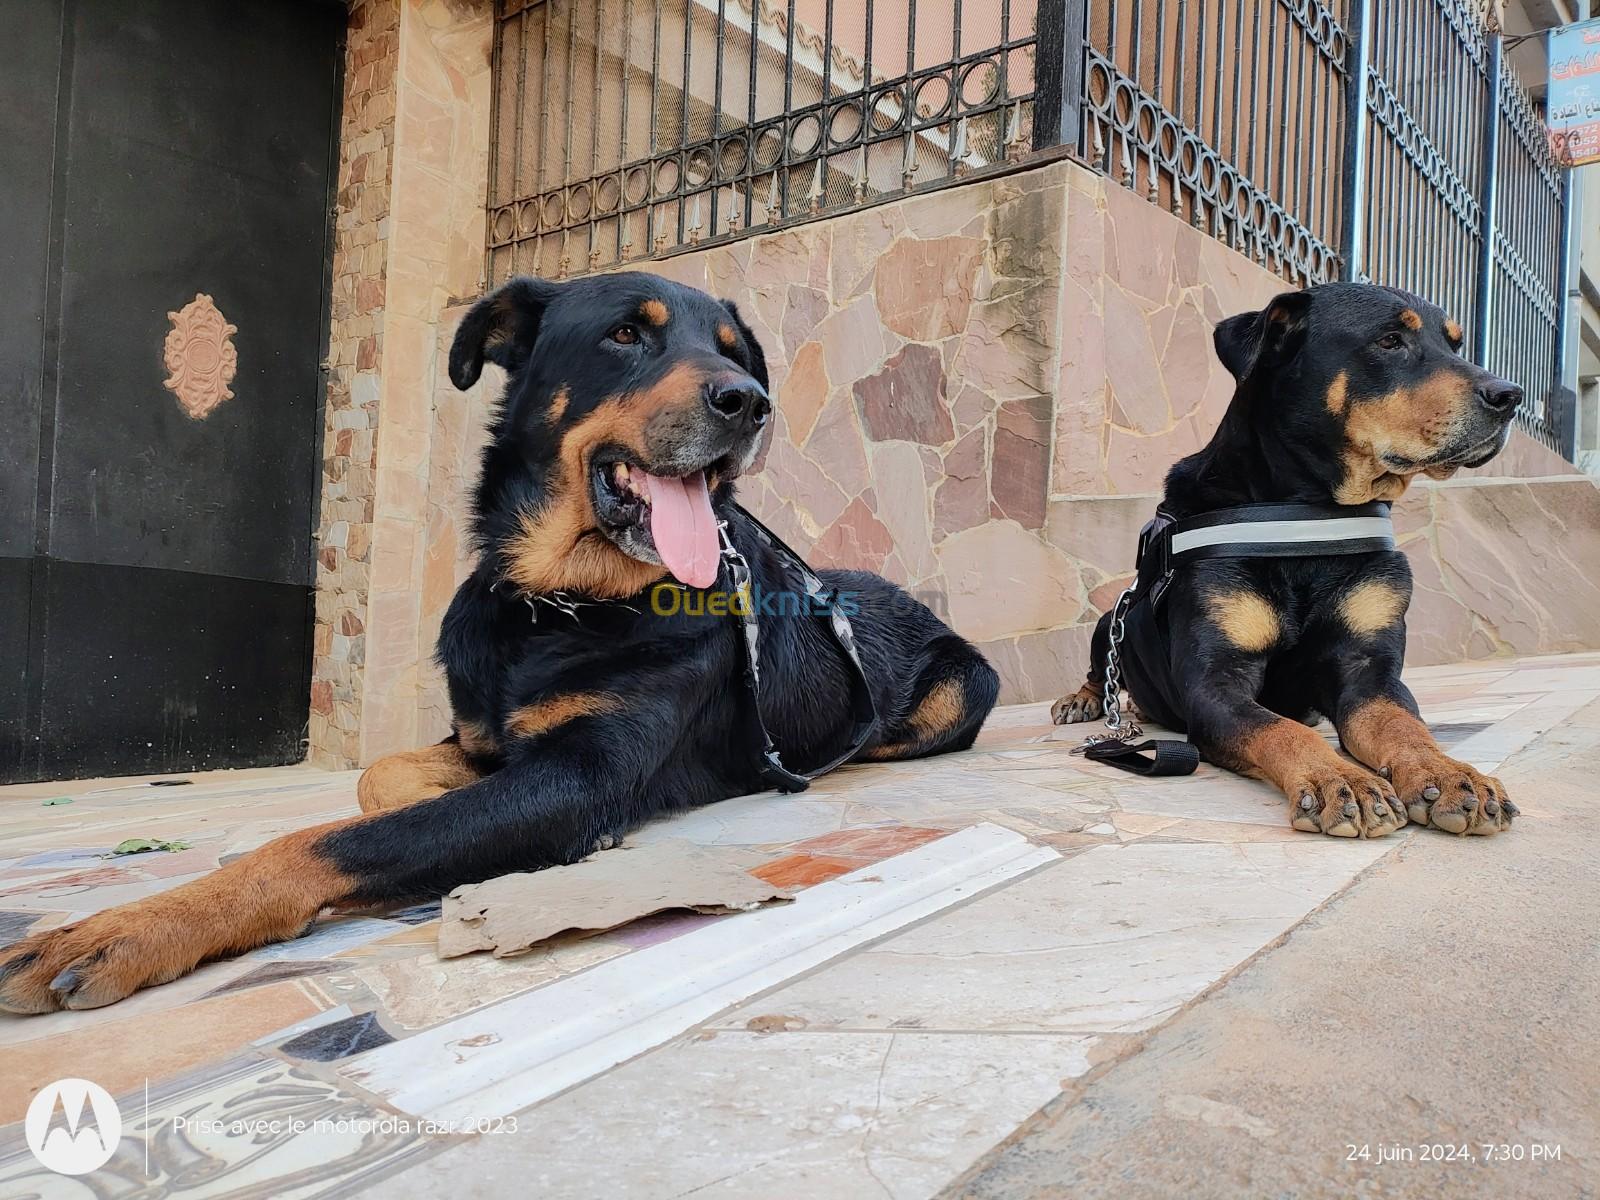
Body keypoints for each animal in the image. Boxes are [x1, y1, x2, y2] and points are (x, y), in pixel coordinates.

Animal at [0, 275, 992, 1017]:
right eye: (627, 335)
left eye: (733, 352)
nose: (749, 403)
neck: (560, 604)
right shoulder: (485, 737)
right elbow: (380, 780)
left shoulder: (576, 779)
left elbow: (321, 842)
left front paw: (126, 927)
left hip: (963, 686)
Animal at [1056, 284, 1516, 838]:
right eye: (1389, 341)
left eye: (1455, 344)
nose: (1510, 396)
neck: (1307, 518)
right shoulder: (1217, 683)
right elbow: (1281, 731)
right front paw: (1341, 781)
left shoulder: (1369, 670)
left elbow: (1402, 724)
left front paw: (1446, 774)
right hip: (1109, 621)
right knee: (1102, 670)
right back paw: (1084, 699)